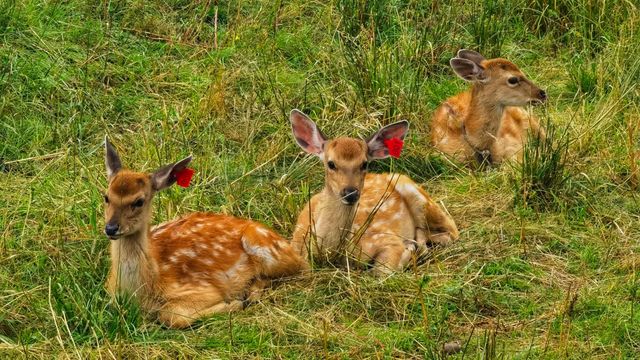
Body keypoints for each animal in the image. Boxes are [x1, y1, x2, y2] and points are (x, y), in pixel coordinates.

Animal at [103, 138, 308, 330]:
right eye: (106, 197)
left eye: (139, 201)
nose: (111, 228)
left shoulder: (201, 290)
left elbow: (171, 316)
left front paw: (233, 304)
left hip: (266, 247)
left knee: (301, 270)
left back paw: (250, 293)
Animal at [290, 109, 460, 276]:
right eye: (331, 164)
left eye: (364, 164)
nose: (350, 193)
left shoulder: (385, 238)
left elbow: (382, 270)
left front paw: (409, 251)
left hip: (415, 194)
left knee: (451, 232)